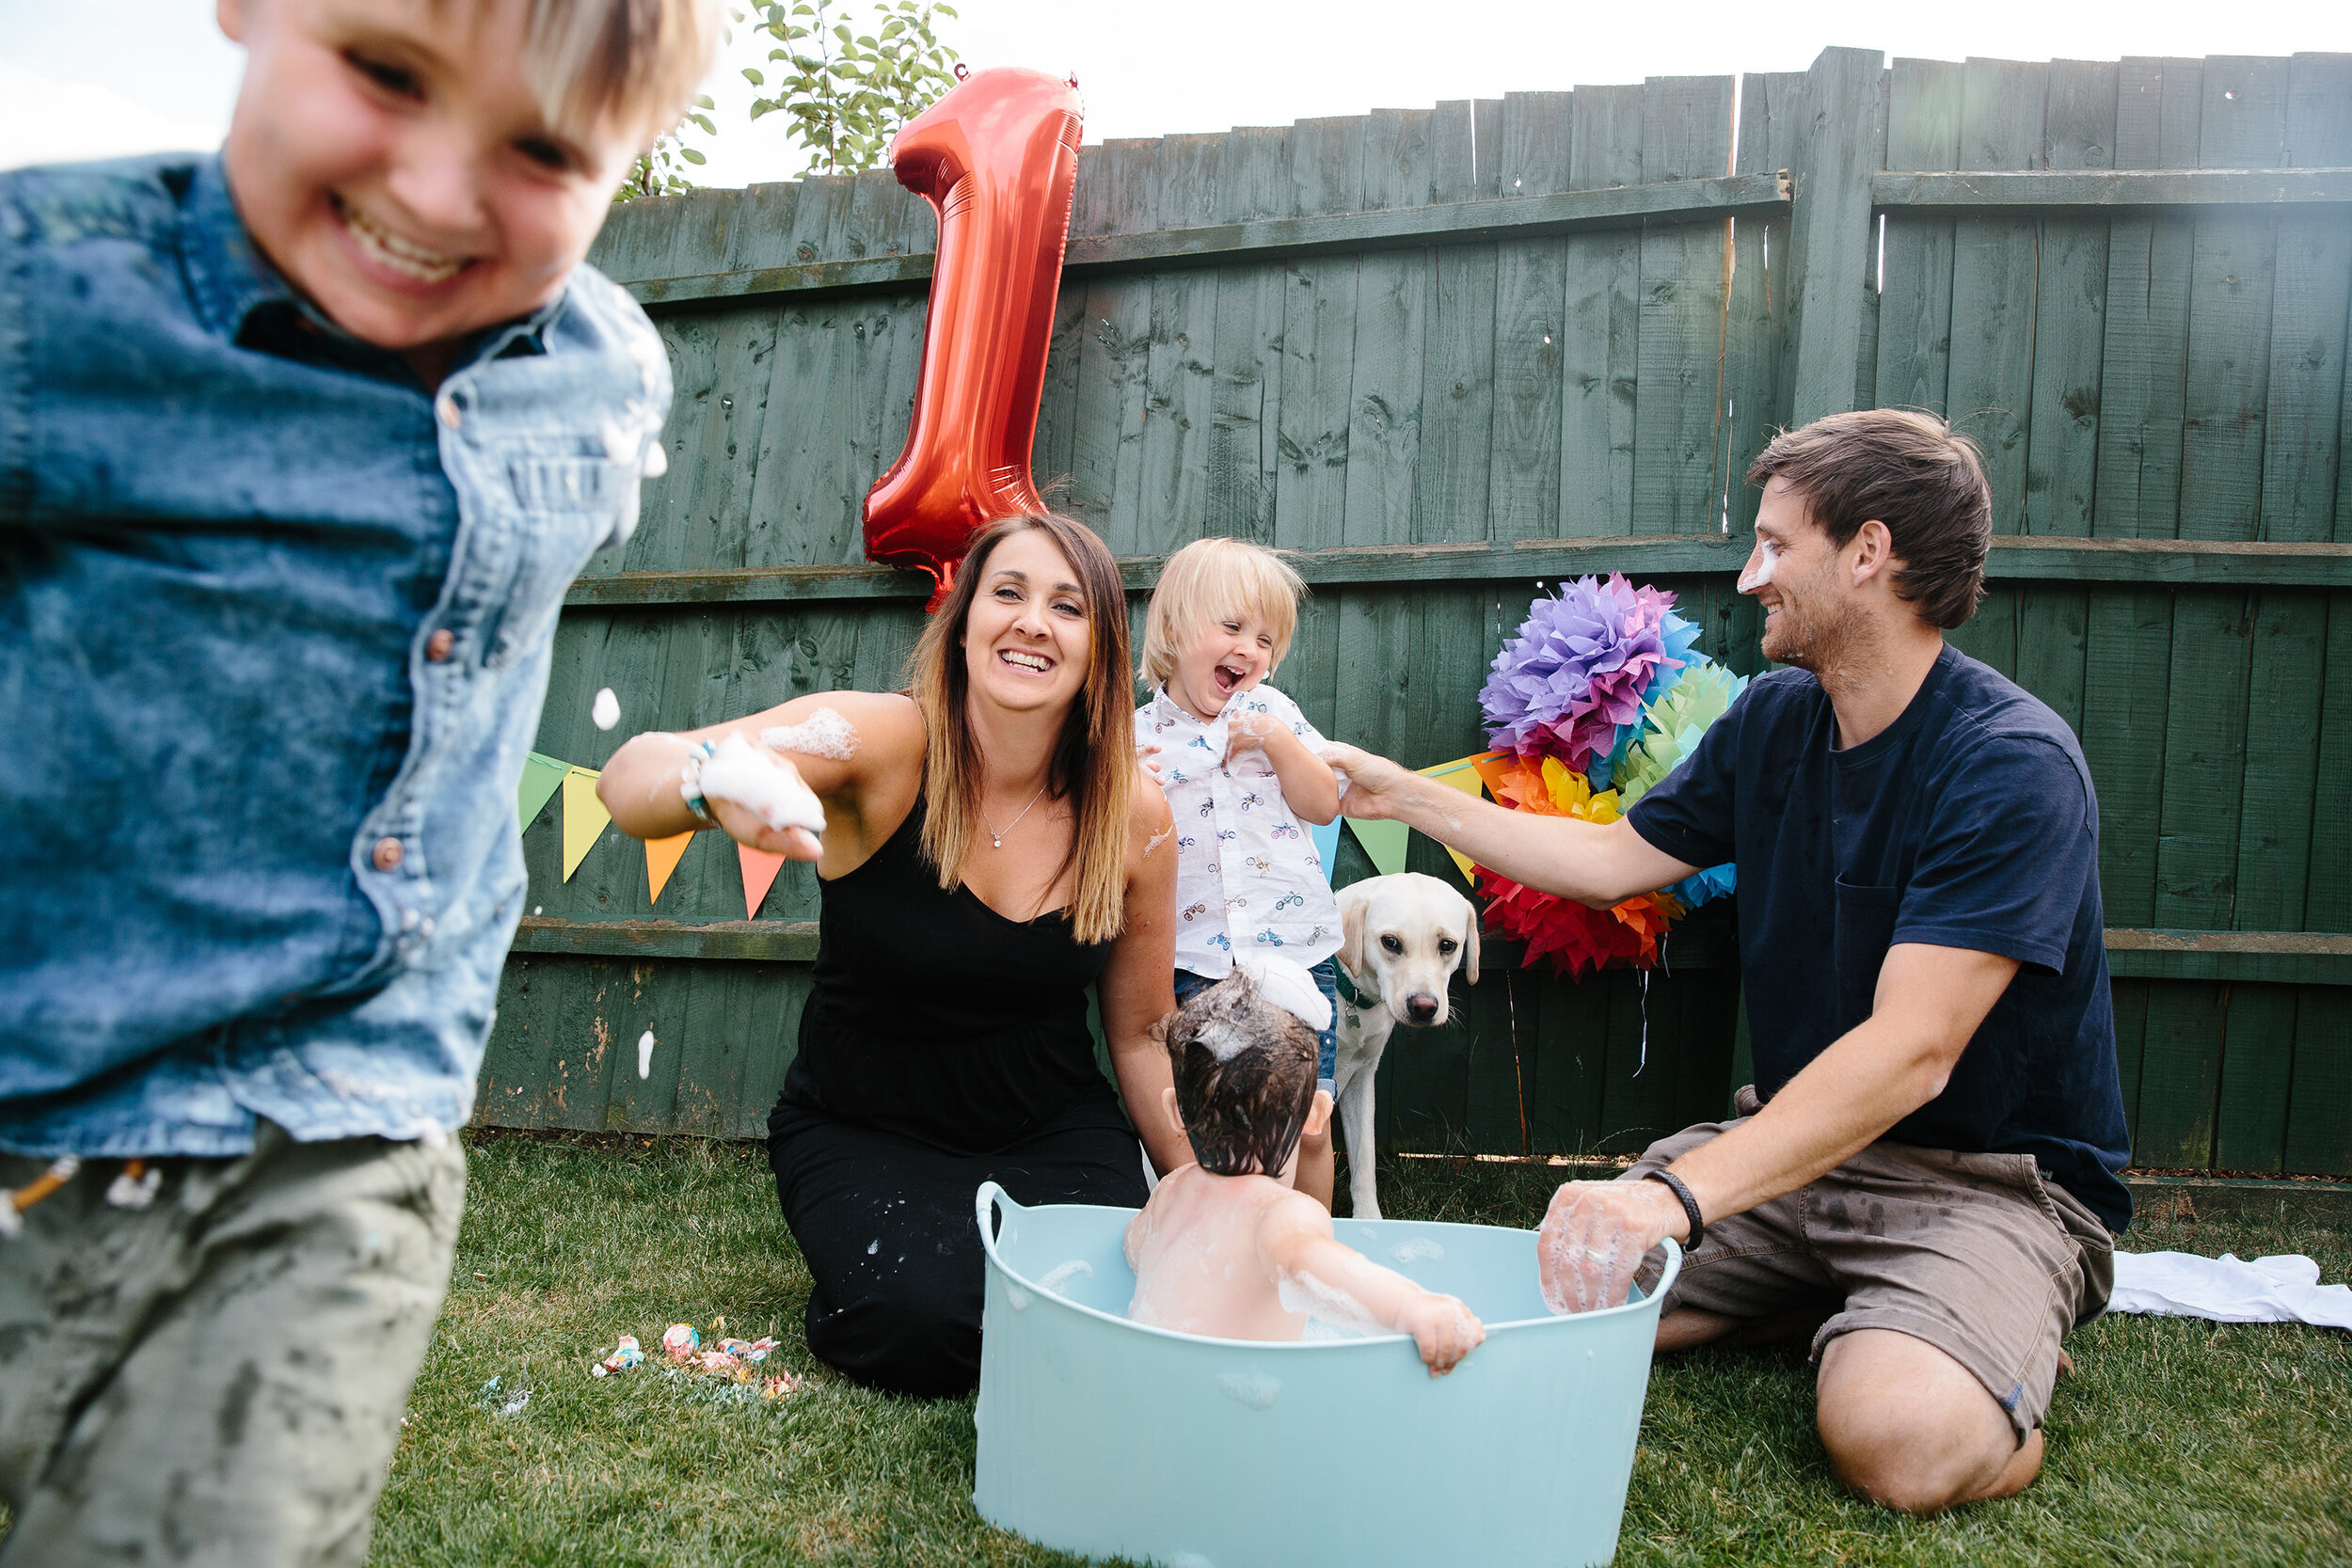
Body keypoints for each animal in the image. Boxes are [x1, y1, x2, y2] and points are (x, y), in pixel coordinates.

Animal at [1336, 869, 1477, 1222]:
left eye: (1447, 945)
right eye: (1390, 942)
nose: (1423, 1007)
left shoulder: (1361, 1079)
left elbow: (1364, 1160)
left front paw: (1368, 1220)